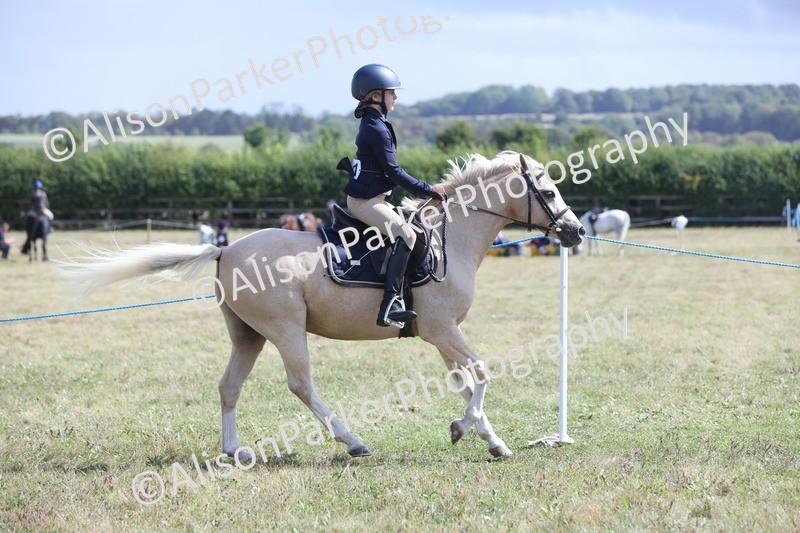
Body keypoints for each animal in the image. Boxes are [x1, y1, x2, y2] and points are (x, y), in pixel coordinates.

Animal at [59, 152, 585, 460]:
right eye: (550, 191)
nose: (576, 232)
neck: (448, 238)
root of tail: (225, 250)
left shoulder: (441, 334)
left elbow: (466, 382)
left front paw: (490, 440)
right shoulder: (441, 330)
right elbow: (481, 374)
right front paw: (464, 428)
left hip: (247, 335)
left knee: (229, 386)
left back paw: (235, 452)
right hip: (285, 329)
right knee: (301, 385)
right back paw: (352, 442)